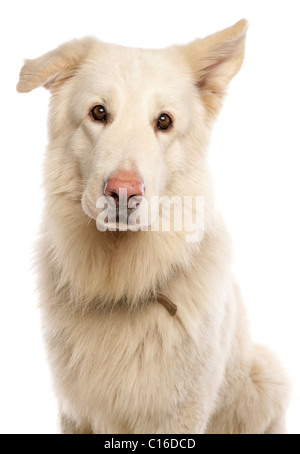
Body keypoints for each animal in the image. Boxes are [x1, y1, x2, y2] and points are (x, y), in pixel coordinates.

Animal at [17, 19, 290, 434]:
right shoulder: (76, 411)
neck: (122, 282)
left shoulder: (180, 414)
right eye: (98, 112)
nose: (123, 192)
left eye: (164, 121)